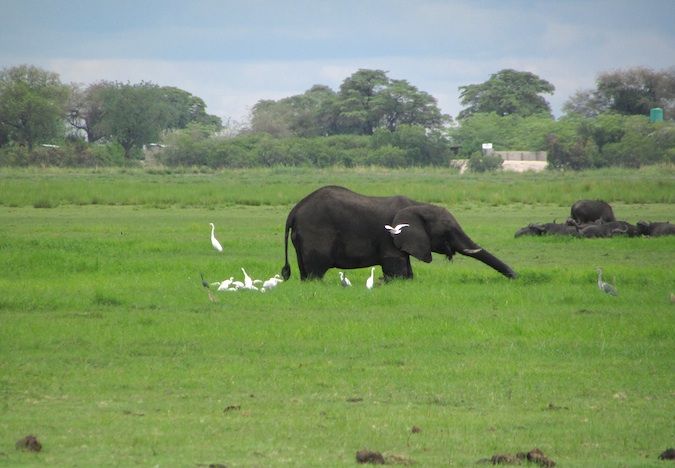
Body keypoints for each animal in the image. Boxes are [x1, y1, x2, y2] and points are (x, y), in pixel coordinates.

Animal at [280, 186, 516, 282]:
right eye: (447, 231)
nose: (516, 277)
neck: (417, 205)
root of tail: (294, 211)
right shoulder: (389, 240)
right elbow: (397, 269)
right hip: (315, 235)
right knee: (315, 271)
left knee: (306, 272)